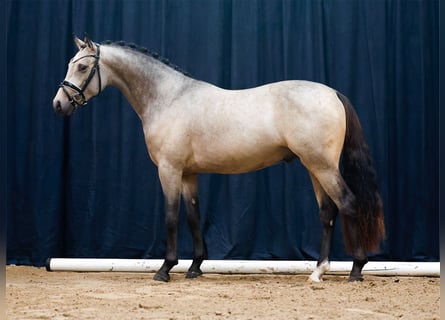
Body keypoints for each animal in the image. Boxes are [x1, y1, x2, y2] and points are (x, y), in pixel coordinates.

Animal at [53, 34, 386, 282]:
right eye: (69, 64)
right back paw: (318, 271)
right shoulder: (189, 174)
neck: (170, 98)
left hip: (322, 166)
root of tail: (332, 93)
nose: (59, 104)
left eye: (83, 67)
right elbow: (193, 215)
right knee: (327, 212)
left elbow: (171, 216)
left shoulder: (169, 170)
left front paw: (165, 268)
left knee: (348, 203)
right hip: (314, 167)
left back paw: (356, 269)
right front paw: (195, 267)